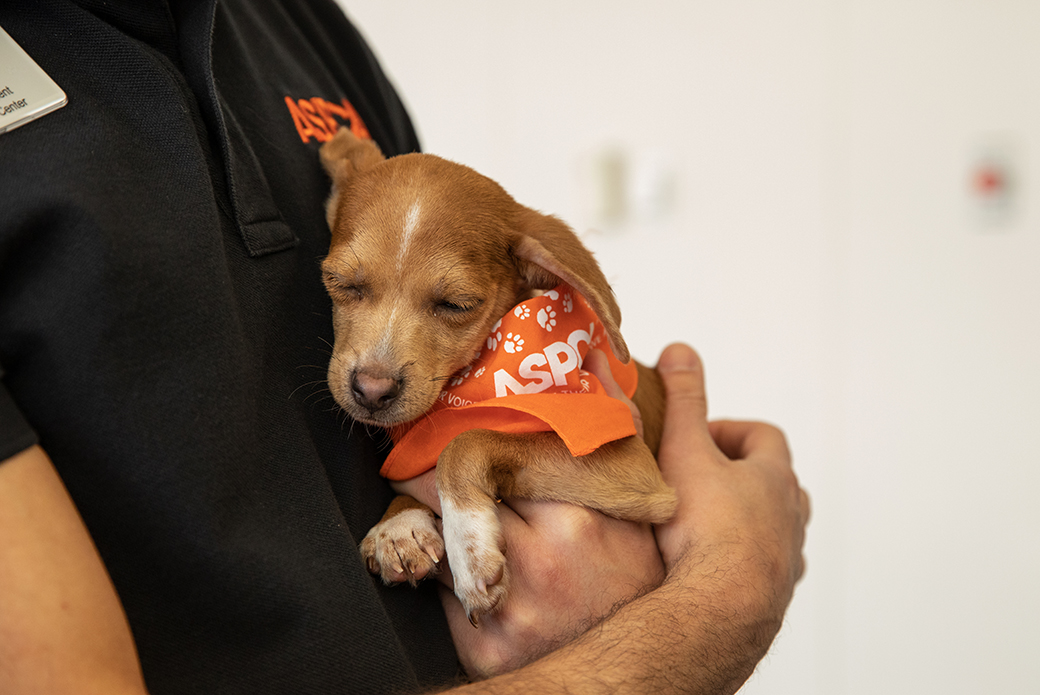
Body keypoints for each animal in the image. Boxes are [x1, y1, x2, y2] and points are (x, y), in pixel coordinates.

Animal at [316, 129, 673, 624]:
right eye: (341, 283)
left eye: (455, 305)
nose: (371, 391)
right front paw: (400, 524)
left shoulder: (631, 466)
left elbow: (464, 443)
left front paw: (469, 547)